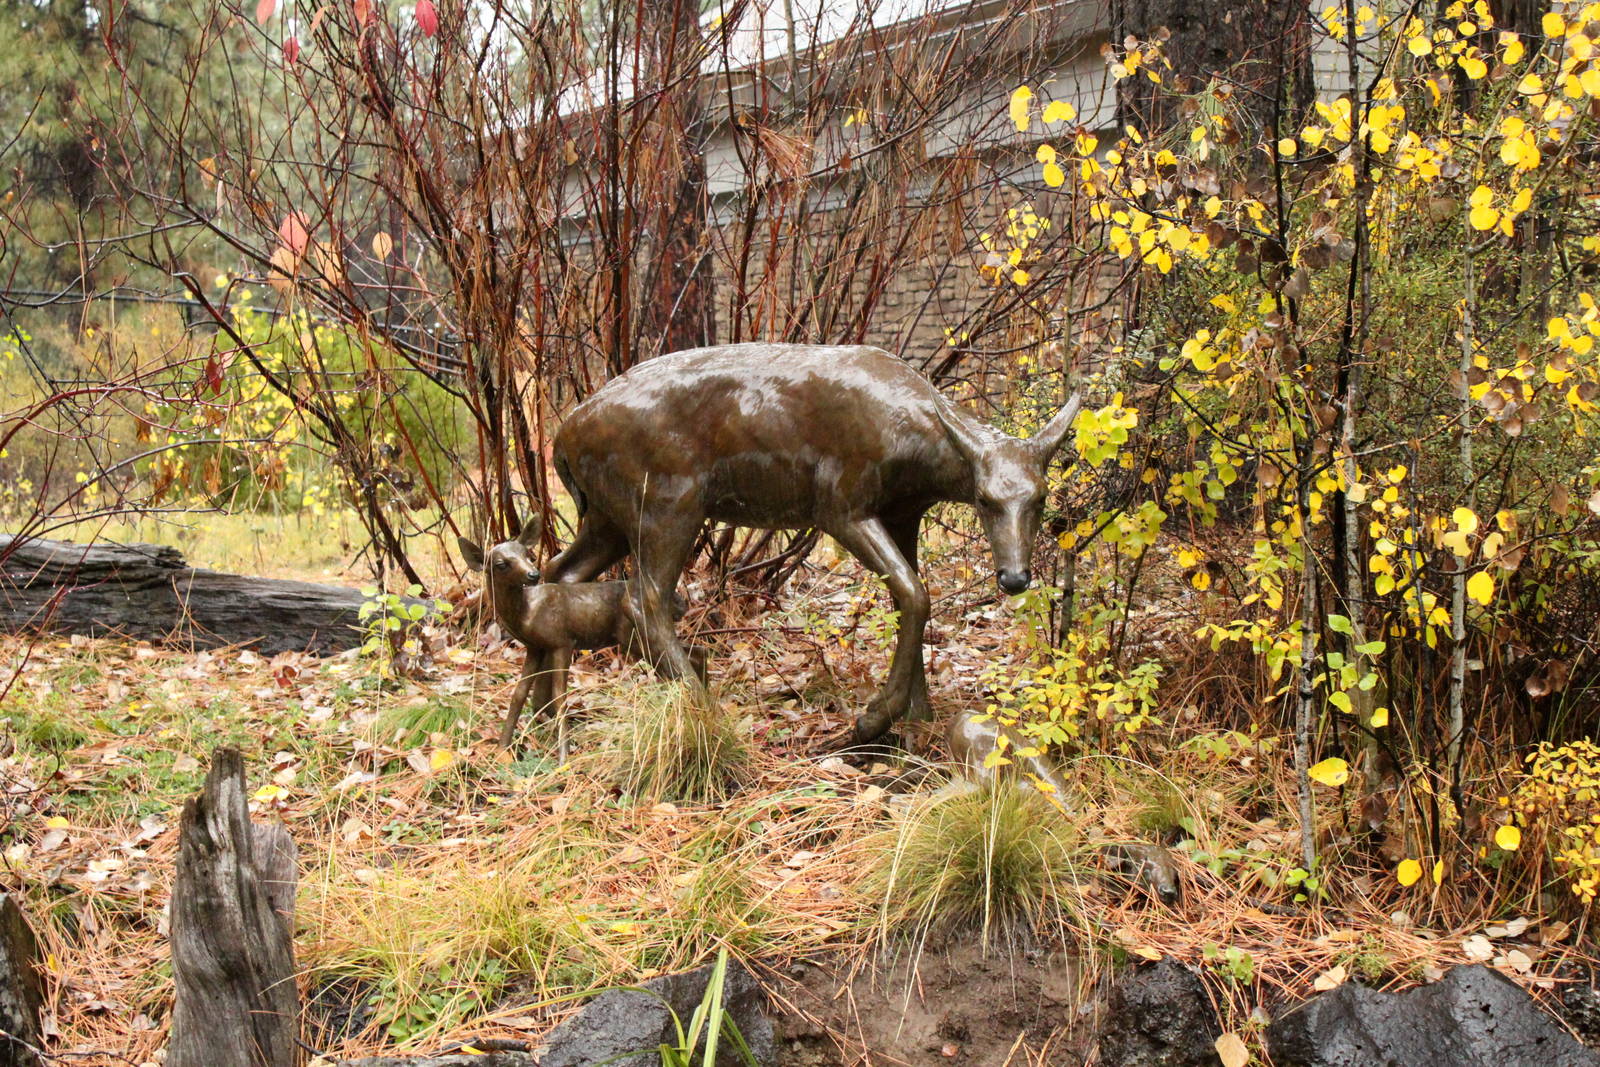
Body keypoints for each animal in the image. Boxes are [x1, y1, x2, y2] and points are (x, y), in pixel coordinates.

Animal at [458, 516, 702, 753]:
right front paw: (502, 749)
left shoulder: (562, 641)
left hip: (634, 638)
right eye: (501, 564)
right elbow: (519, 694)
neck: (526, 612)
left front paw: (563, 756)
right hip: (635, 640)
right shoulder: (535, 647)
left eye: (528, 555)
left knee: (682, 663)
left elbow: (559, 697)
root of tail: (677, 603)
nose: (534, 574)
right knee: (696, 653)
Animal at [543, 342, 1081, 743]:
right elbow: (914, 593)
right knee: (644, 598)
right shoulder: (840, 504)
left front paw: (919, 716)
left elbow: (909, 596)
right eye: (985, 500)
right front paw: (873, 719)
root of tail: (561, 440)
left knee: (560, 573)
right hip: (668, 504)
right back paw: (702, 705)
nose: (1014, 577)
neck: (911, 450)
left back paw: (551, 718)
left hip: (608, 515)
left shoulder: (903, 514)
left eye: (1041, 497)